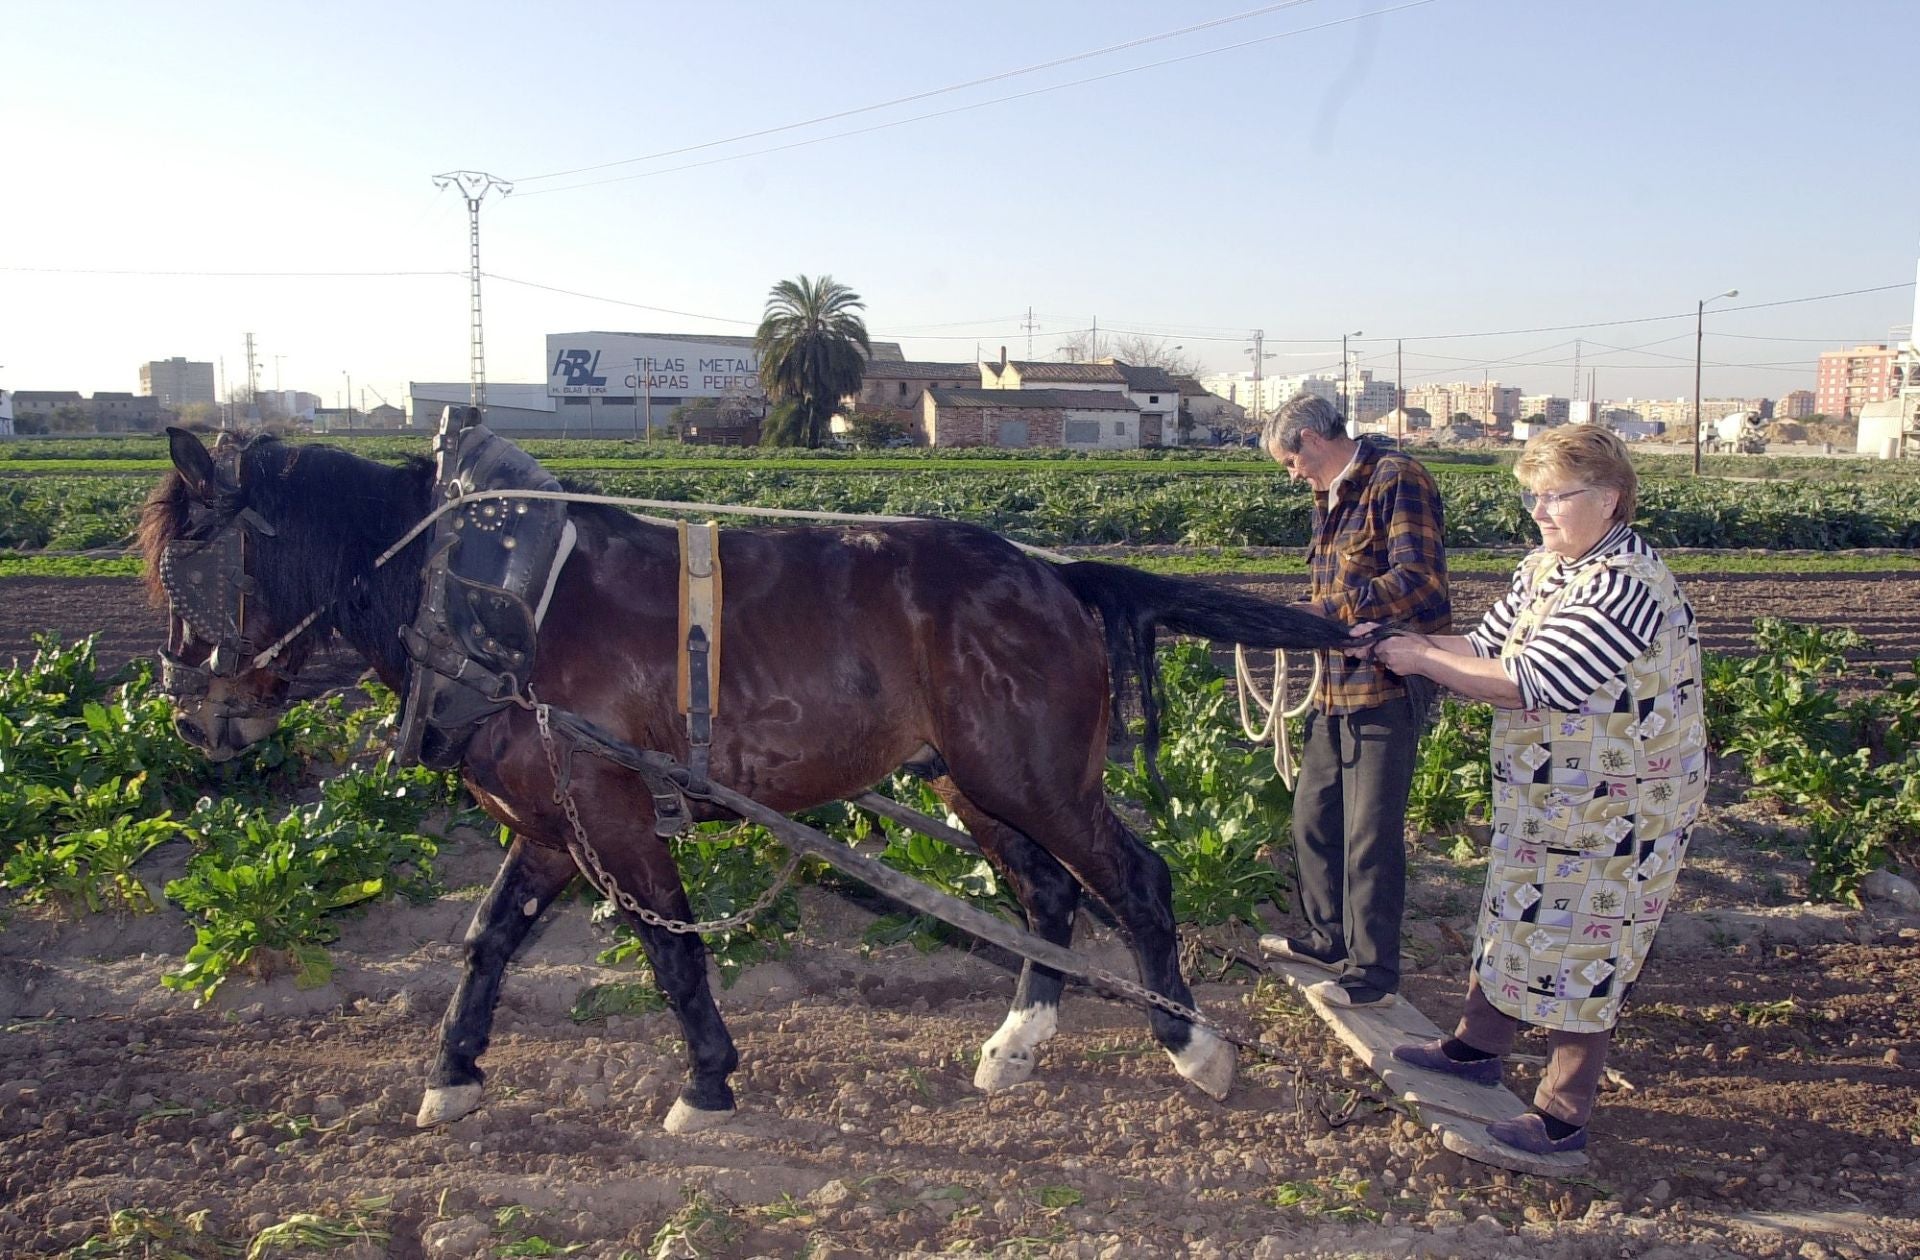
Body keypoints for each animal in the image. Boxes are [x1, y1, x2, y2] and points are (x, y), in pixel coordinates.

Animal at [145, 428, 1382, 1137]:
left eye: (185, 566)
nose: (197, 719)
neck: (496, 602)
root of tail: (1053, 573)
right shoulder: (547, 822)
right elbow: (486, 941)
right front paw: (451, 1072)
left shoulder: (613, 812)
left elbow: (672, 952)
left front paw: (705, 1083)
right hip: (968, 785)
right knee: (1048, 897)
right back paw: (1015, 1046)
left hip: (1033, 777)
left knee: (1134, 882)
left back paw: (1194, 1045)